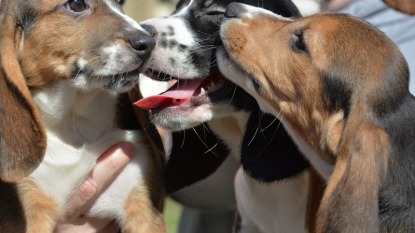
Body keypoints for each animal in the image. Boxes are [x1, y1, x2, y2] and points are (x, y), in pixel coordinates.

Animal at [0, 0, 167, 231]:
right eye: (77, 4)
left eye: (121, 3)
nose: (150, 43)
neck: (74, 122)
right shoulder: (29, 212)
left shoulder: (144, 206)